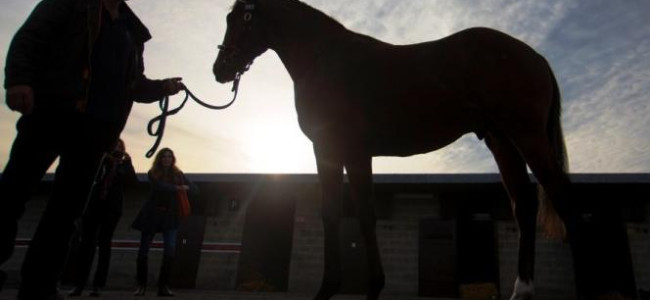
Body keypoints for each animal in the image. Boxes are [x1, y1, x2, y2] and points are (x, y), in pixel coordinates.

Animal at [211, 1, 592, 298]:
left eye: (240, 19)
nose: (220, 70)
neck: (327, 60)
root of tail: (535, 56)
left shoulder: (345, 151)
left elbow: (358, 215)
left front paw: (362, 288)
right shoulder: (337, 153)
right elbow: (339, 213)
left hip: (527, 137)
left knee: (564, 200)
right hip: (502, 141)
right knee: (524, 205)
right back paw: (521, 290)